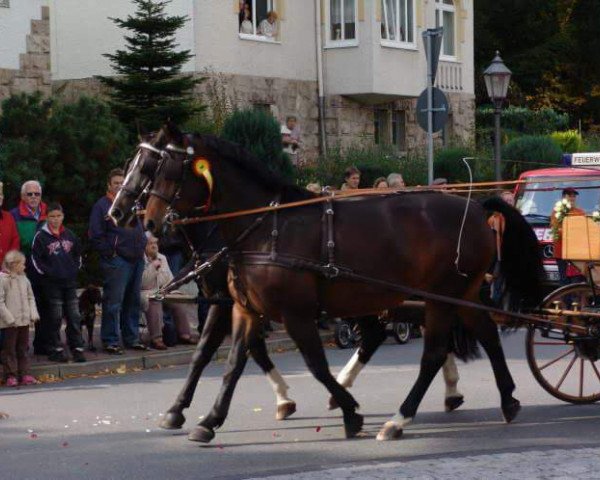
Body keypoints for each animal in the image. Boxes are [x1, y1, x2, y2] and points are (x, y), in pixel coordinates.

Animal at [142, 124, 544, 442]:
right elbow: (232, 362)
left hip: (440, 296)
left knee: (431, 352)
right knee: (485, 334)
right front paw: (208, 419)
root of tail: (476, 207)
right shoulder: (243, 308)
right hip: (456, 294)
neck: (266, 227)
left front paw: (350, 412)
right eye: (145, 167)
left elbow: (314, 364)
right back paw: (506, 399)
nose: (146, 221)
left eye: (166, 169)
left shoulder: (292, 312)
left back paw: (399, 418)